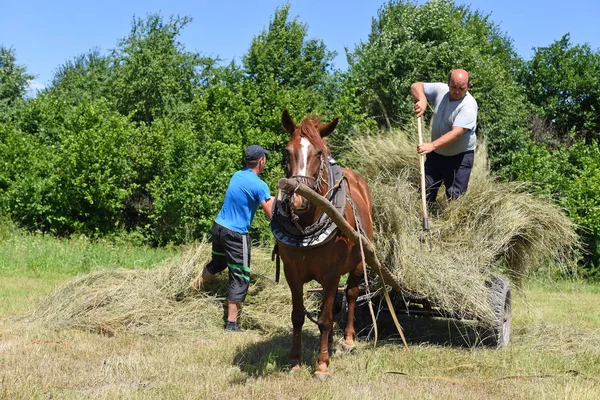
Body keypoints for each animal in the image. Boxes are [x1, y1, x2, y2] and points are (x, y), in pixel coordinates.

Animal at [274, 108, 376, 378]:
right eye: (287, 151)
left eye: (319, 152)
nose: (298, 199)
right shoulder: (292, 273)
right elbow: (298, 316)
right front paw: (295, 361)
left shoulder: (332, 273)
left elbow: (325, 319)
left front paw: (322, 366)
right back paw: (328, 342)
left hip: (359, 263)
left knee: (351, 295)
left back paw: (347, 341)